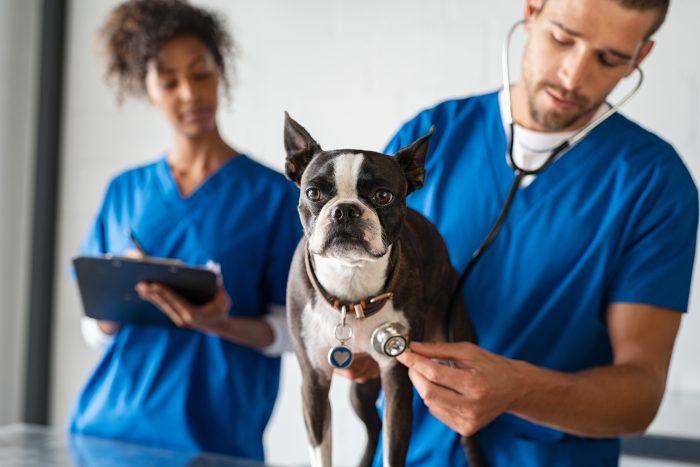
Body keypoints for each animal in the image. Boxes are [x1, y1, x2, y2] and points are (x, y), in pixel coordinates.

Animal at [282, 113, 484, 467]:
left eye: (383, 196)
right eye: (313, 193)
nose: (345, 210)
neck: (351, 287)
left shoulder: (396, 381)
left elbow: (393, 450)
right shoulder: (314, 382)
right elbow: (322, 451)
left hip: (454, 354)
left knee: (466, 433)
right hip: (360, 390)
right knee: (373, 426)